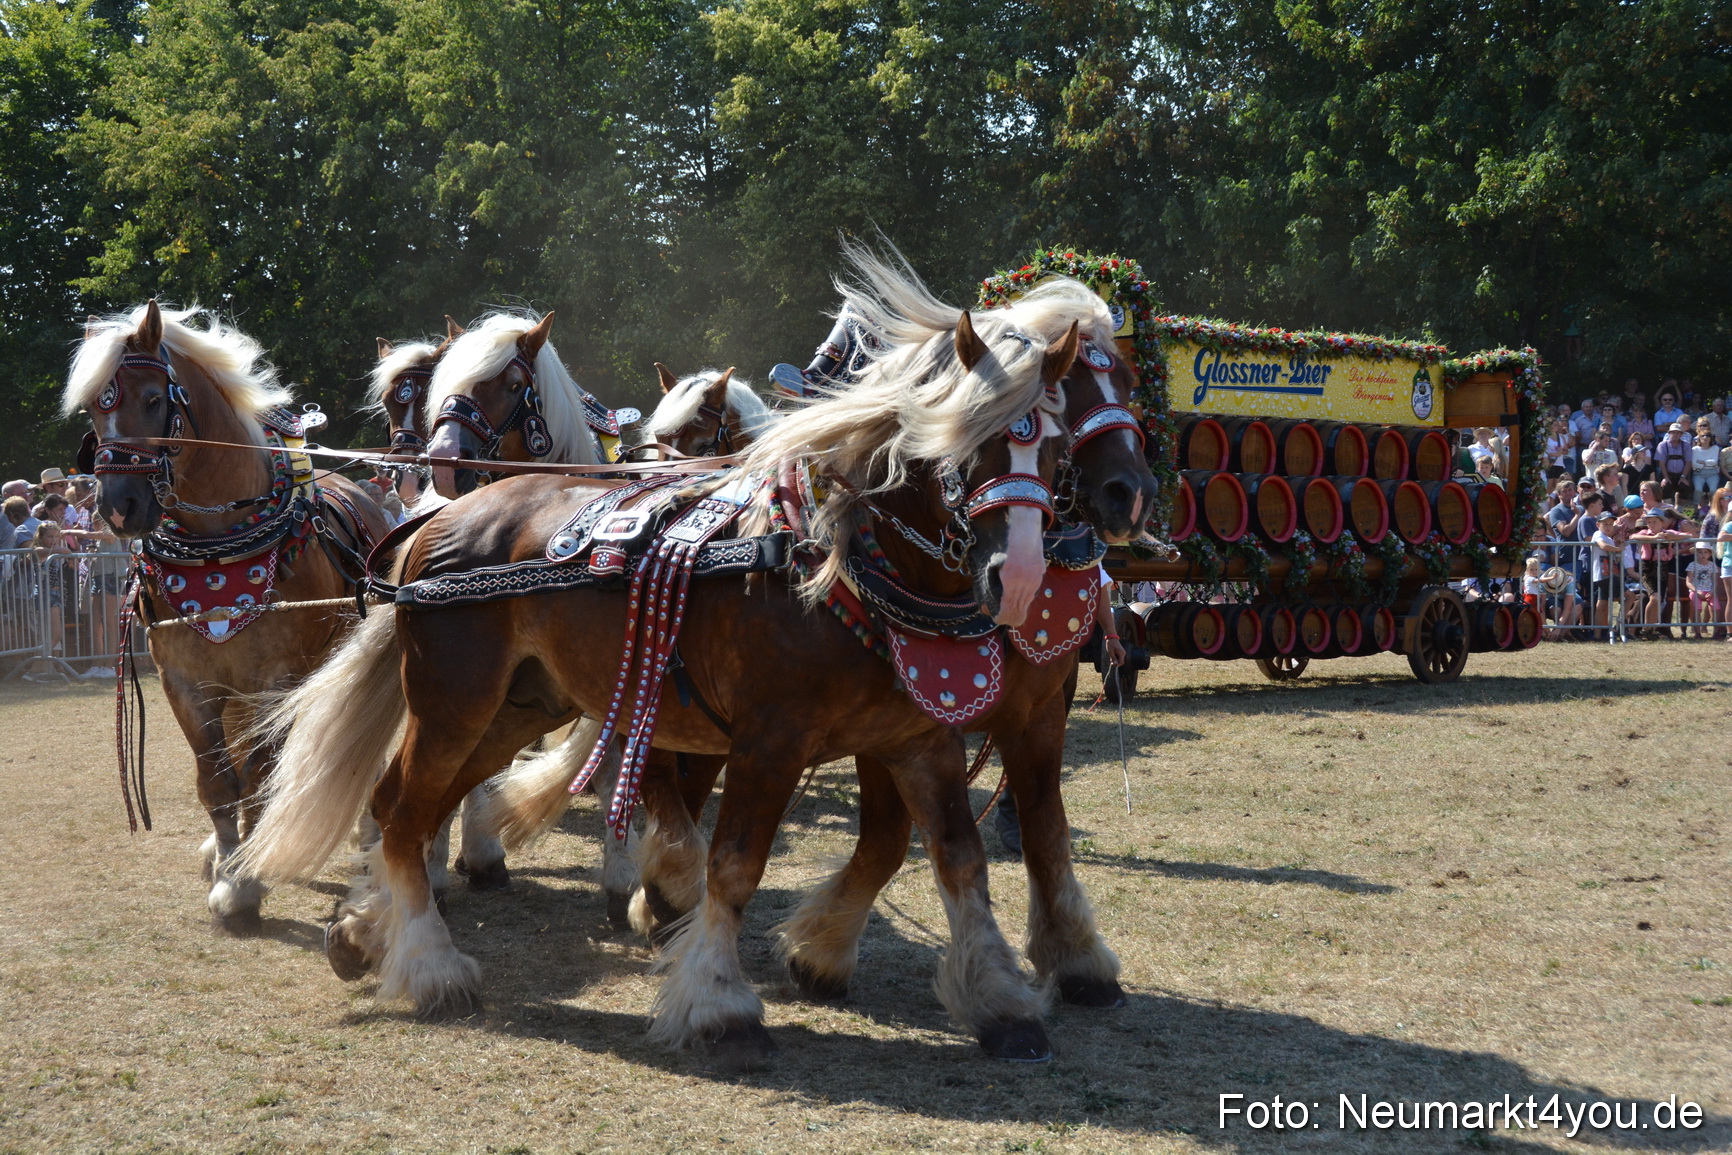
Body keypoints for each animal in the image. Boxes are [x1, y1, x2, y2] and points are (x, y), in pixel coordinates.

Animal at [66, 301, 392, 934]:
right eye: (96, 406)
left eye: (153, 399)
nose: (117, 508)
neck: (217, 557)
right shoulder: (187, 682)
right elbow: (217, 781)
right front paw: (227, 865)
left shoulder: (274, 680)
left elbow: (259, 776)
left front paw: (242, 882)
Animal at [236, 264, 1074, 1061]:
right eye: (966, 441)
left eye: (1057, 450)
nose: (1019, 576)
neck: (833, 561)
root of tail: (436, 521)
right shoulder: (769, 740)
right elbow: (730, 864)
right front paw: (718, 1004)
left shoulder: (920, 741)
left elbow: (961, 861)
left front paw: (1001, 1001)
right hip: (454, 702)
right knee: (405, 813)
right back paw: (433, 968)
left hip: (518, 709)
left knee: (403, 808)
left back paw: (363, 933)